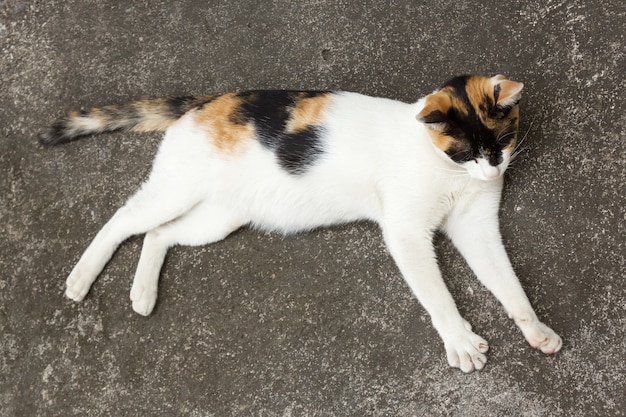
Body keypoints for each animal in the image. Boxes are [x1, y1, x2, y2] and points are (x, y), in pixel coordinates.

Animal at [41, 74, 564, 370]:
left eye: (502, 140)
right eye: (465, 150)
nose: (493, 170)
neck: (445, 167)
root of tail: (207, 101)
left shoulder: (477, 228)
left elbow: (508, 284)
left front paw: (535, 329)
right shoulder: (406, 233)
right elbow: (437, 295)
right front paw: (458, 340)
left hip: (217, 218)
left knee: (158, 234)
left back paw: (144, 292)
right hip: (176, 190)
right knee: (124, 218)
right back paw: (81, 278)